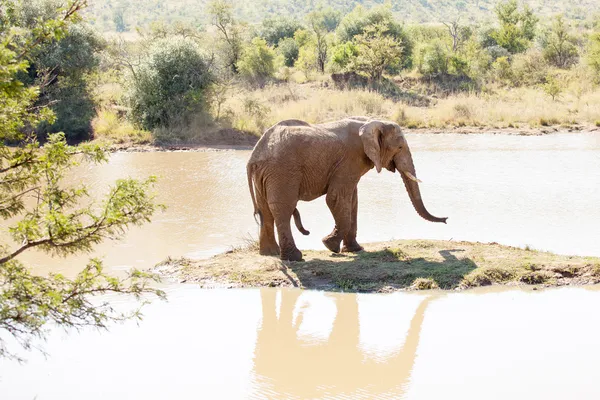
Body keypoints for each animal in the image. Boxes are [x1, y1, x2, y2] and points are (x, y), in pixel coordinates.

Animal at [246, 117, 448, 260]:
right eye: (399, 147)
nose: (446, 220)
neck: (372, 121)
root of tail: (254, 155)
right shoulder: (350, 159)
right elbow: (336, 198)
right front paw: (330, 245)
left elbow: (352, 199)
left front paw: (354, 249)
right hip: (282, 171)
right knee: (283, 209)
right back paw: (295, 258)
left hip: (265, 174)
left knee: (266, 211)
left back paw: (269, 253)